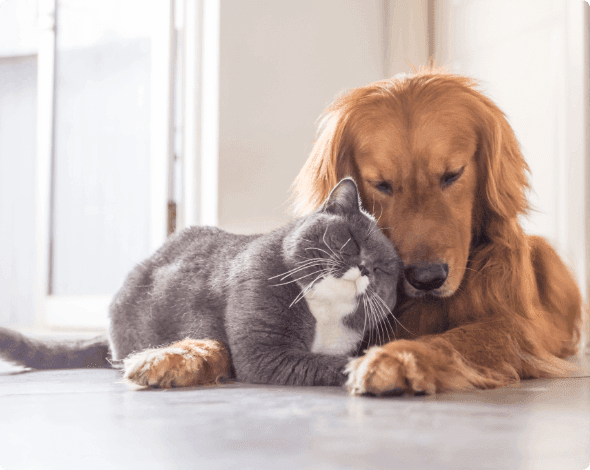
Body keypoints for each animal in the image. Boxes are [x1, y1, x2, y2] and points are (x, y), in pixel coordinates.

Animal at [0, 178, 402, 388]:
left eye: (383, 269)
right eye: (351, 240)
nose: (364, 268)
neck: (325, 314)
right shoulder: (263, 352)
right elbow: (325, 363)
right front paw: (369, 367)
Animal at [294, 68, 584, 394]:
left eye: (452, 175)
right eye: (382, 184)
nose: (426, 278)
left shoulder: (516, 326)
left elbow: (458, 338)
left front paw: (399, 357)